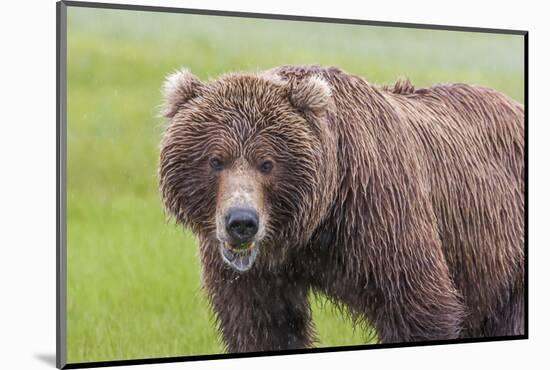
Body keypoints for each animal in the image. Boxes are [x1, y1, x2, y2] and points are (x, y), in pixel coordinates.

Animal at [158, 64, 528, 352]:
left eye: (267, 163)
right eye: (215, 160)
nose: (242, 222)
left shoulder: (379, 211)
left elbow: (418, 305)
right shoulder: (258, 273)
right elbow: (261, 323)